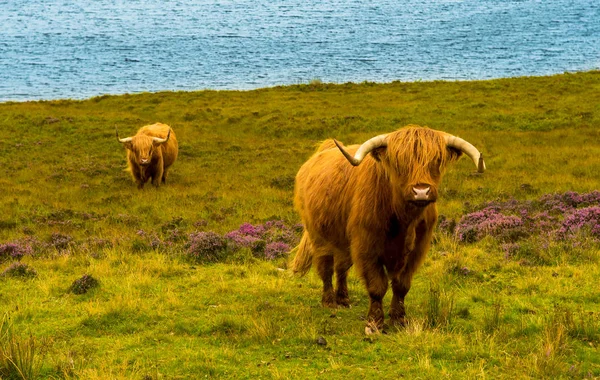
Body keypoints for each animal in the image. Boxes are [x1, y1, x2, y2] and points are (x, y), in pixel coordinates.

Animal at [292, 124, 486, 332]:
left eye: (437, 161)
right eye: (399, 163)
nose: (421, 192)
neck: (404, 221)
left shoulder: (417, 248)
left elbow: (402, 285)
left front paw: (399, 319)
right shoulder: (366, 245)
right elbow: (377, 285)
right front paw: (374, 323)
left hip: (343, 241)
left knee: (342, 267)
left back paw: (343, 299)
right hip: (318, 235)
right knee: (326, 267)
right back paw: (329, 301)